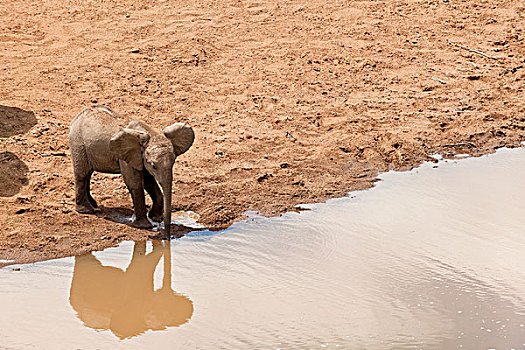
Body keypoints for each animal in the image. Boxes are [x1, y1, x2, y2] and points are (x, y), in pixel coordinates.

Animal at [67, 104, 194, 235]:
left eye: (173, 162)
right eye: (153, 165)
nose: (166, 236)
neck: (150, 134)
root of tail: (78, 117)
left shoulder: (139, 156)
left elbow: (149, 181)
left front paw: (156, 218)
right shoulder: (126, 155)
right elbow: (135, 182)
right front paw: (144, 226)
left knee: (88, 173)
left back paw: (93, 205)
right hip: (78, 142)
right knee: (82, 173)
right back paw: (87, 210)